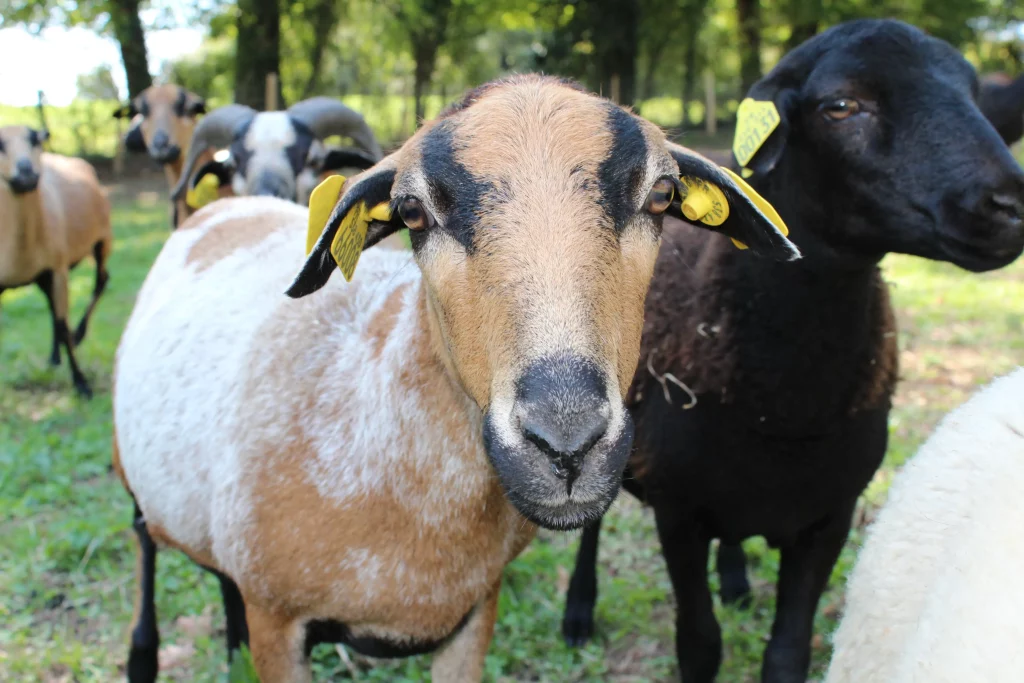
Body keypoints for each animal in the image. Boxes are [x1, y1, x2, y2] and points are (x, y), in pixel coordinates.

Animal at [0, 126, 112, 398]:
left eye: (34, 139)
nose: (26, 172)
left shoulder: (58, 269)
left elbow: (62, 324)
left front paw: (81, 383)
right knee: (52, 305)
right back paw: (54, 357)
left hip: (102, 239)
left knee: (101, 280)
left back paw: (77, 335)